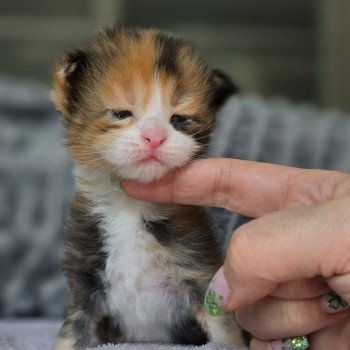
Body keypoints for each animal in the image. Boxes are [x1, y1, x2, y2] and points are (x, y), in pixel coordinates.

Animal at [52, 26, 246, 348]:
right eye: (122, 113)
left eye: (180, 119)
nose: (155, 136)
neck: (130, 207)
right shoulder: (85, 280)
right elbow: (72, 331)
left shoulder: (200, 272)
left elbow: (224, 329)